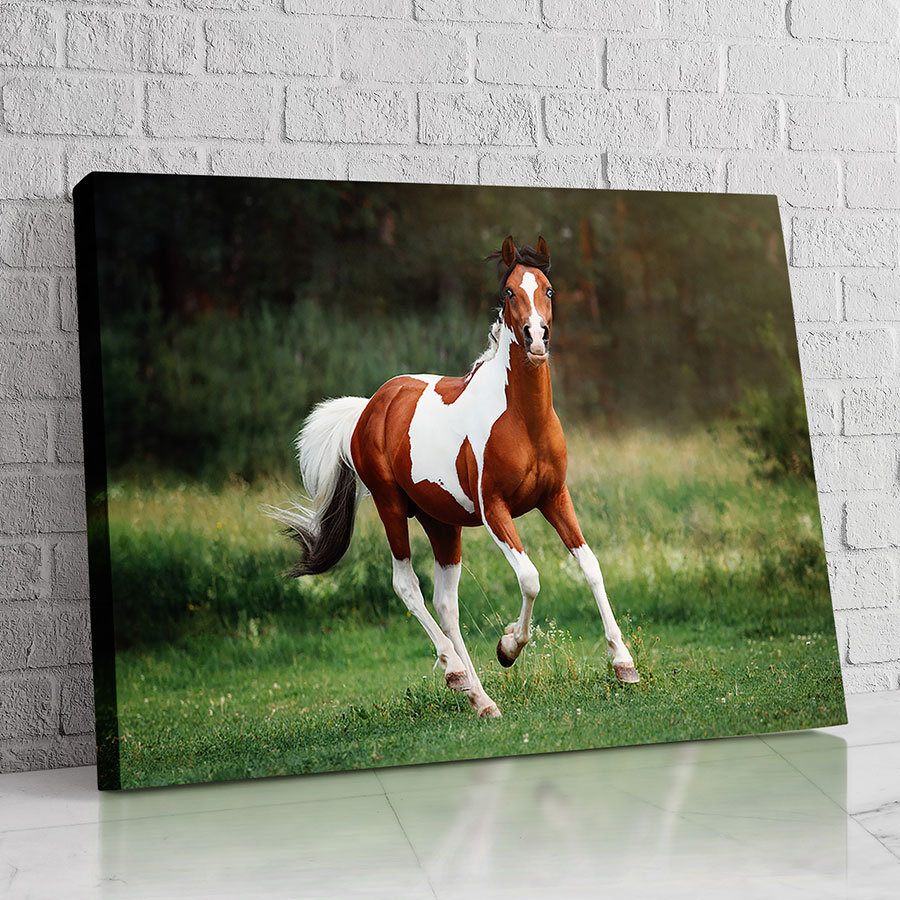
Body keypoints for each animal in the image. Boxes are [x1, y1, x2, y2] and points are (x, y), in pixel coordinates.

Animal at [269, 235, 639, 719]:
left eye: (549, 289)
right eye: (509, 292)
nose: (536, 338)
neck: (523, 420)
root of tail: (370, 407)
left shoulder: (555, 497)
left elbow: (590, 566)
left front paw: (624, 665)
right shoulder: (495, 509)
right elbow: (530, 578)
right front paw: (507, 648)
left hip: (441, 524)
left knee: (446, 604)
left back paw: (481, 699)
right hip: (391, 507)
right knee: (407, 586)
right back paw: (458, 673)